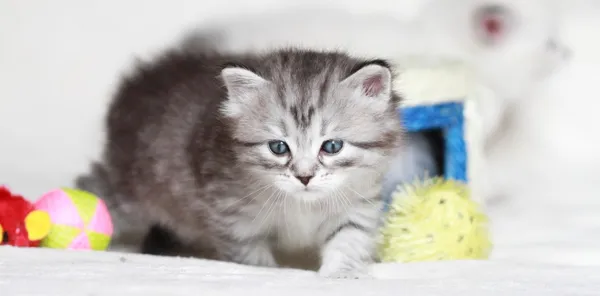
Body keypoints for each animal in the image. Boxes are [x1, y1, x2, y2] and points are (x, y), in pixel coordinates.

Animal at [75, 45, 404, 278]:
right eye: (278, 148)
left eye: (332, 146)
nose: (304, 177)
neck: (303, 205)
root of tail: (138, 83)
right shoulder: (233, 216)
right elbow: (251, 258)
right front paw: (270, 272)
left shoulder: (357, 203)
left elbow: (349, 239)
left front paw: (343, 274)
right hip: (129, 189)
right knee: (94, 189)